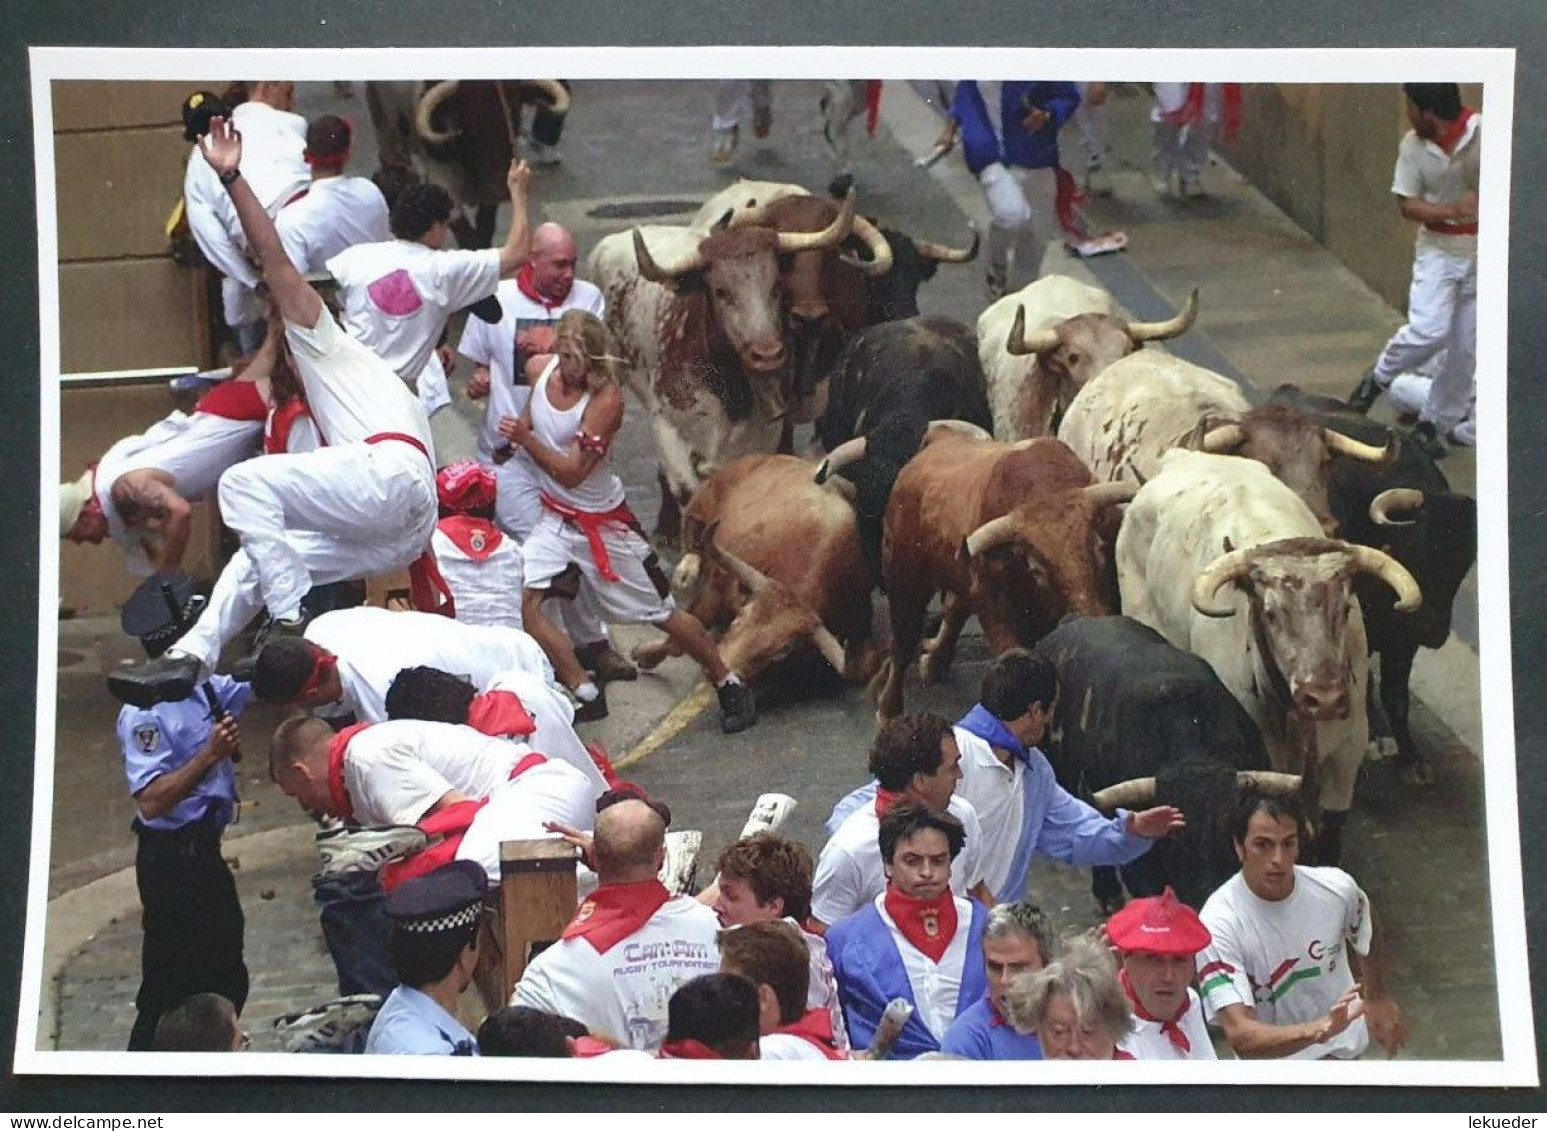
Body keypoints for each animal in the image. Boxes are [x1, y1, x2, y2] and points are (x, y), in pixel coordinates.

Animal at [624, 454, 872, 686]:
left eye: (782, 651)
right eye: (739, 620)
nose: (718, 669)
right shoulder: (714, 592)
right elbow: (683, 635)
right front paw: (645, 655)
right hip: (703, 502)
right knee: (692, 533)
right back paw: (687, 569)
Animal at [884, 430, 1138, 720]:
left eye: (1099, 548)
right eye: (1036, 568)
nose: (1092, 619)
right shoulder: (993, 607)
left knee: (955, 609)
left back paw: (935, 661)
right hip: (904, 579)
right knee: (903, 641)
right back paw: (889, 709)